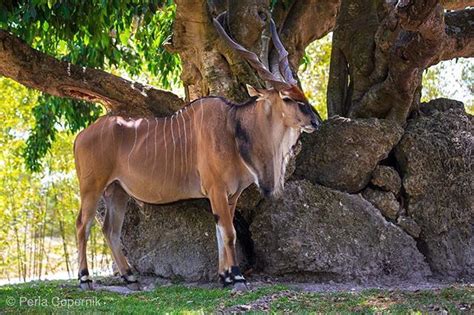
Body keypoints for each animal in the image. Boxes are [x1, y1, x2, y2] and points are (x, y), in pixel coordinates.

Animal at [74, 13, 320, 292]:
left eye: (302, 93)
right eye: (288, 98)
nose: (316, 121)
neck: (233, 126)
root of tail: (81, 136)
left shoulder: (230, 195)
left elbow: (221, 231)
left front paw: (225, 276)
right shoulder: (217, 189)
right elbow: (229, 233)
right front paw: (237, 277)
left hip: (117, 190)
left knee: (110, 229)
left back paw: (130, 276)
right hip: (92, 187)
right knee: (83, 224)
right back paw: (85, 278)